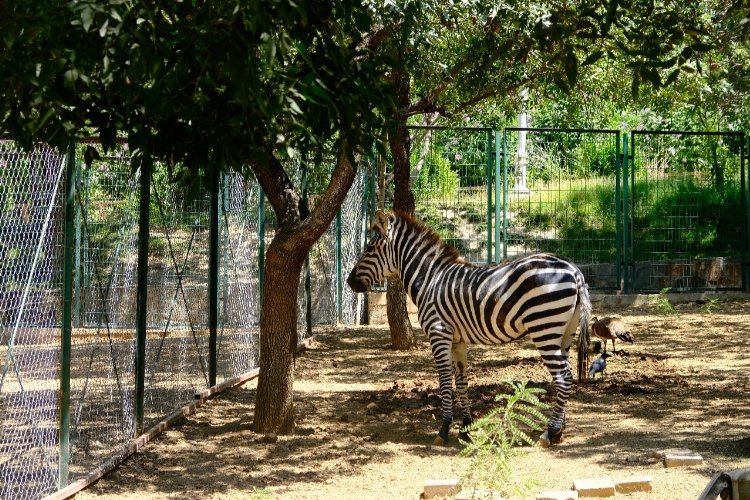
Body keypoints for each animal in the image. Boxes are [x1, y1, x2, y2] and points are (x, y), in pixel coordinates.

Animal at [348, 209, 592, 448]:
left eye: (369, 249)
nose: (350, 283)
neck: (429, 280)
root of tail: (573, 269)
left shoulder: (439, 333)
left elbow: (445, 382)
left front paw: (444, 429)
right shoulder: (458, 340)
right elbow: (462, 381)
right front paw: (465, 428)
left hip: (544, 328)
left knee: (562, 378)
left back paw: (549, 432)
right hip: (565, 332)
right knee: (567, 376)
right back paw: (560, 431)